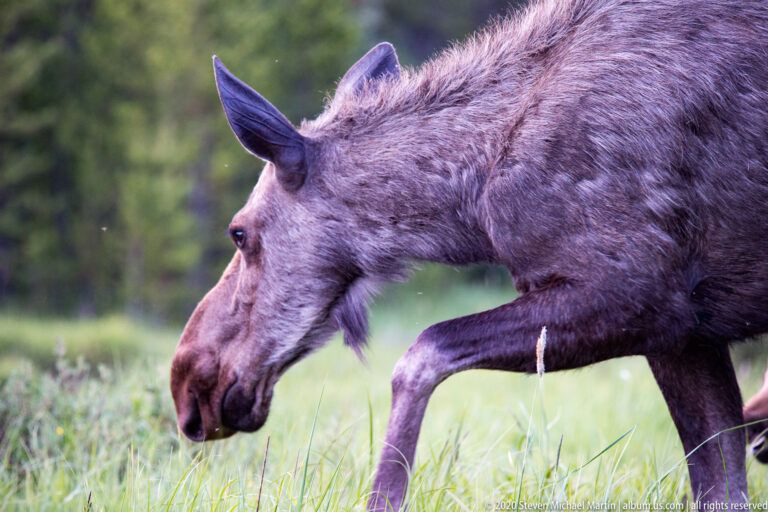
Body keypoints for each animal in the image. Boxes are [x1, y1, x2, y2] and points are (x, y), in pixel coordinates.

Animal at [170, 0, 768, 509]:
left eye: (239, 233)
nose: (188, 382)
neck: (475, 203)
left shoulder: (645, 296)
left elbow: (420, 353)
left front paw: (384, 498)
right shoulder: (689, 331)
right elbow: (720, 479)